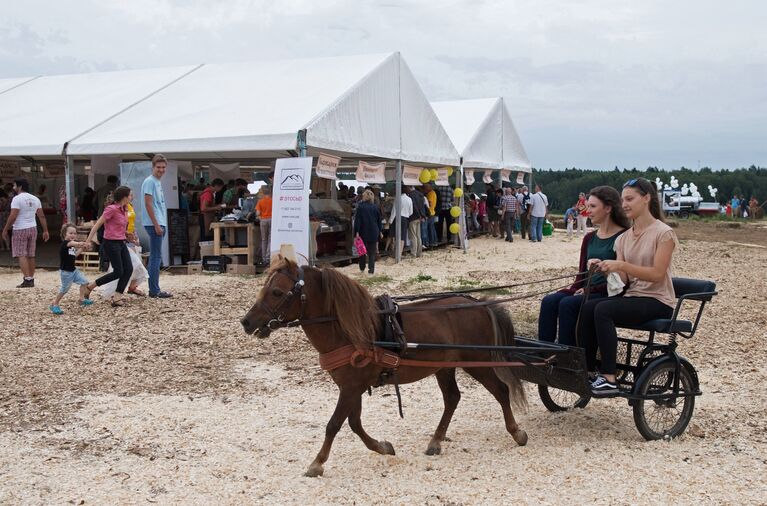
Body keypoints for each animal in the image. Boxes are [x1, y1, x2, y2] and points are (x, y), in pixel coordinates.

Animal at [242, 258, 528, 476]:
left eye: (277, 292)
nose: (246, 322)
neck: (348, 331)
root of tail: (477, 303)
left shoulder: (351, 387)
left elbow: (334, 424)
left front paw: (317, 463)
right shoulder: (352, 387)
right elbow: (354, 423)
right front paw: (382, 447)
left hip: (477, 362)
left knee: (500, 391)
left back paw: (516, 432)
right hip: (444, 366)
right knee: (452, 398)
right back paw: (436, 441)